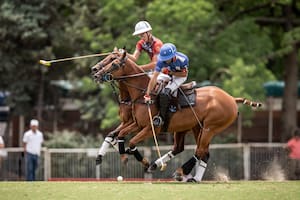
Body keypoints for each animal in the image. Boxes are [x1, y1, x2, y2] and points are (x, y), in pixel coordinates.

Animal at [92, 49, 262, 181]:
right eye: (107, 59)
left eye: (113, 63)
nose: (95, 73)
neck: (141, 94)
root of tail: (232, 98)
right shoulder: (136, 123)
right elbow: (117, 134)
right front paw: (114, 156)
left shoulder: (151, 128)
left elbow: (132, 142)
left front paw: (142, 161)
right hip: (195, 127)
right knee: (195, 151)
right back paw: (184, 175)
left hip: (211, 127)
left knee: (199, 151)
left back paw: (180, 172)